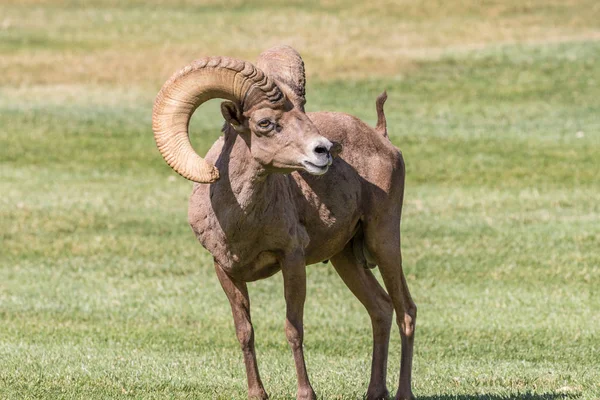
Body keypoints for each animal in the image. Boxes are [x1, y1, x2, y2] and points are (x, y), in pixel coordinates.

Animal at [154, 47, 418, 400]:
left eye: (303, 114)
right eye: (265, 123)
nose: (325, 151)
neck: (241, 223)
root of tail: (382, 137)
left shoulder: (291, 260)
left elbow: (293, 329)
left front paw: (306, 394)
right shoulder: (225, 270)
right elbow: (244, 331)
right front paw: (257, 394)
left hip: (384, 241)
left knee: (406, 312)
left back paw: (403, 393)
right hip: (346, 258)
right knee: (381, 308)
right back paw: (374, 392)